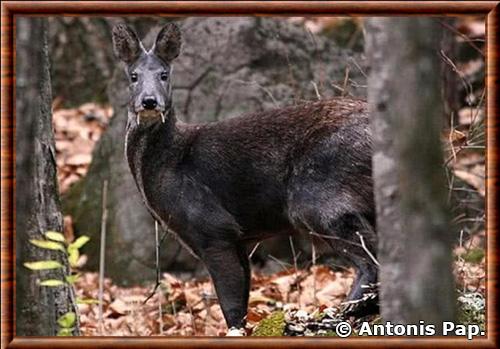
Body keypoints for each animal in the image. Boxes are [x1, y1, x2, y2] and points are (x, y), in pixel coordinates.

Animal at [112, 23, 378, 334]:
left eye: (164, 74)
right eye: (133, 76)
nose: (149, 101)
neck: (171, 162)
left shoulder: (212, 227)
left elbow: (229, 303)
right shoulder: (236, 237)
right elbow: (240, 301)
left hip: (319, 194)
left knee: (370, 260)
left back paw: (338, 314)